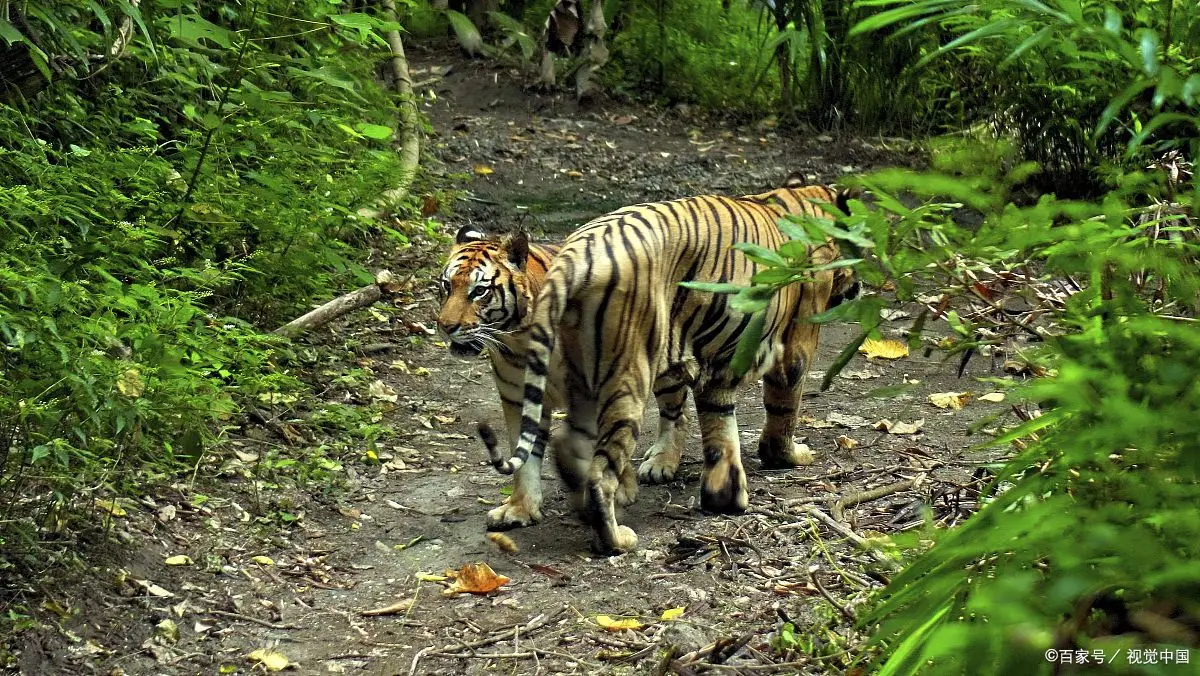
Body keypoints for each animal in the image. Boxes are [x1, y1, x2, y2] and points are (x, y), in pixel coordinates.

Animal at [434, 224, 696, 530]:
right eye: (446, 285)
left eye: (479, 291)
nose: (445, 326)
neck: (518, 342)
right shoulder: (519, 399)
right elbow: (525, 456)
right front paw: (521, 508)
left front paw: (619, 491)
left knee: (676, 410)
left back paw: (661, 463)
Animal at [477, 181, 864, 554]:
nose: (858, 285)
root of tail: (573, 255)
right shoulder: (796, 344)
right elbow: (782, 408)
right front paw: (787, 456)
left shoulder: (715, 367)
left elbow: (719, 430)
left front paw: (723, 496)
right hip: (628, 379)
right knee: (601, 473)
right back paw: (615, 538)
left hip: (586, 380)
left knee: (570, 443)